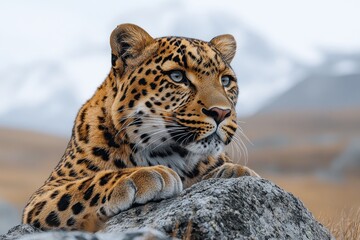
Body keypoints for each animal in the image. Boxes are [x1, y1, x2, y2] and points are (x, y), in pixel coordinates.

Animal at [22, 23, 258, 232]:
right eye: (177, 76)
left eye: (225, 80)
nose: (221, 112)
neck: (173, 155)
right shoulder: (44, 194)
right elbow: (85, 186)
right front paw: (142, 175)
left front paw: (235, 170)